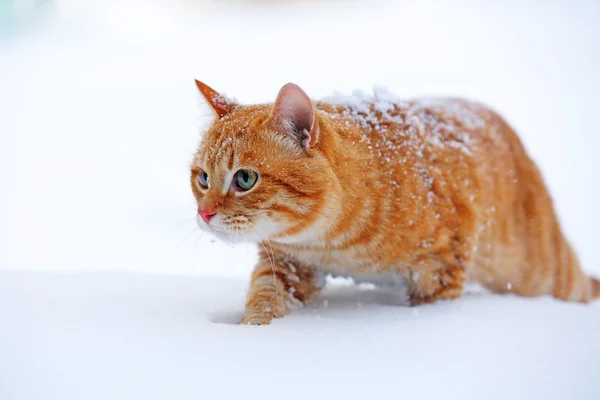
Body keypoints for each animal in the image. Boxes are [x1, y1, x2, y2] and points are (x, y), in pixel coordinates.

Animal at [189, 79, 600, 324]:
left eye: (245, 179)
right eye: (203, 178)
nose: (204, 213)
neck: (332, 243)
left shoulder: (440, 269)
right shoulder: (287, 266)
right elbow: (264, 302)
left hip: (542, 273)